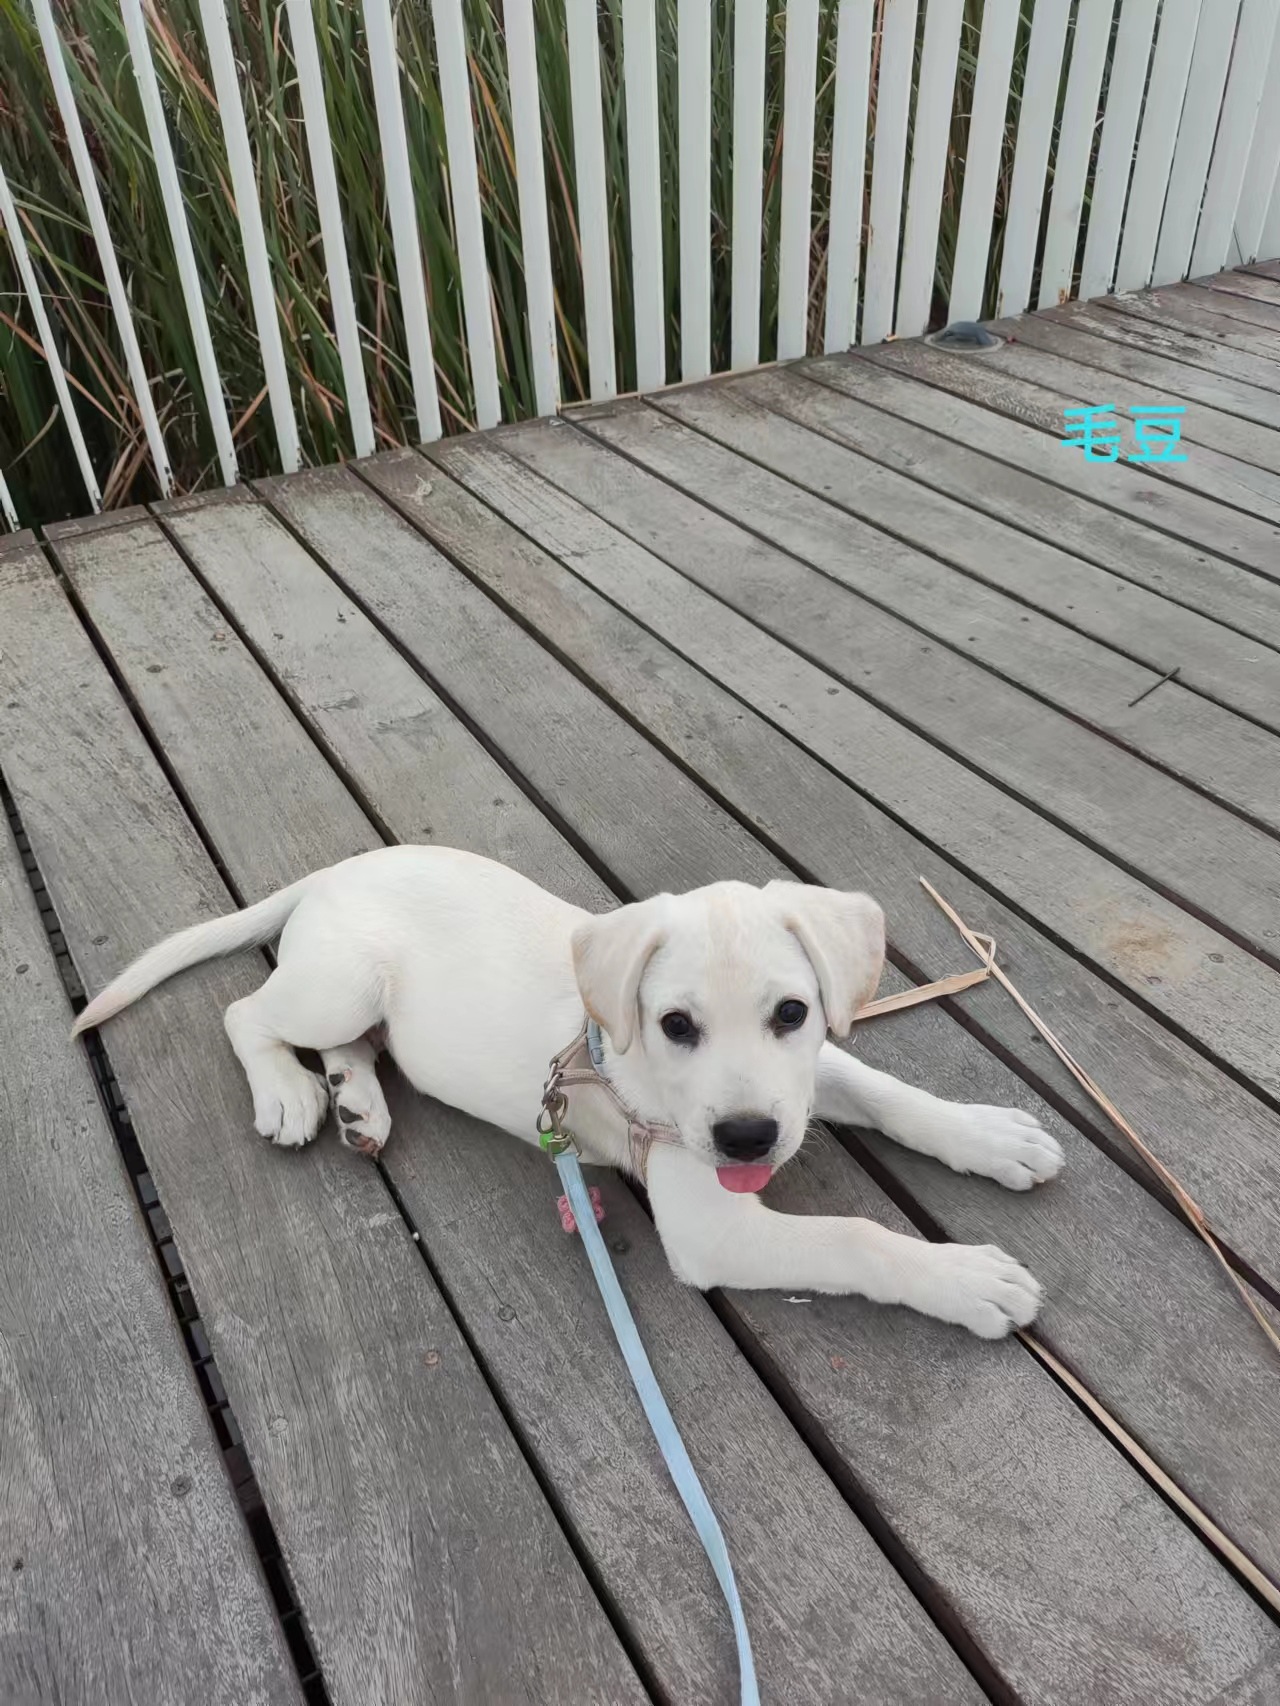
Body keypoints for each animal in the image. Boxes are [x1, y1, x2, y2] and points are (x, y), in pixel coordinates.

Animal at [74, 845, 1062, 1337]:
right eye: (675, 1025)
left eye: (792, 1012)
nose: (746, 1139)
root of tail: (332, 872)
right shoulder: (710, 1227)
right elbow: (854, 1238)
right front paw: (965, 1277)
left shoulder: (807, 1072)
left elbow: (889, 1091)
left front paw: (989, 1136)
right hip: (338, 981)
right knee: (247, 1011)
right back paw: (292, 1092)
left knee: (356, 1046)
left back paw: (359, 1101)